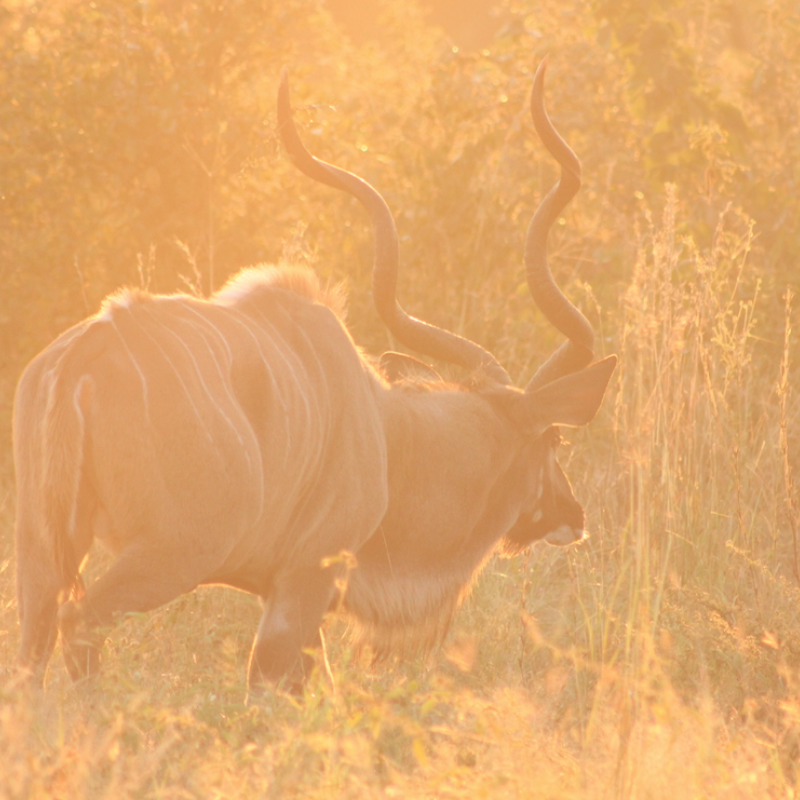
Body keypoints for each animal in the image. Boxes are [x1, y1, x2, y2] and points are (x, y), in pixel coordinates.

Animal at [14, 59, 620, 692]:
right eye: (555, 440)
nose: (573, 514)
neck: (391, 435)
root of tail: (88, 350)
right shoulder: (304, 581)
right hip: (167, 555)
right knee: (80, 622)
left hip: (42, 555)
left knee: (31, 651)